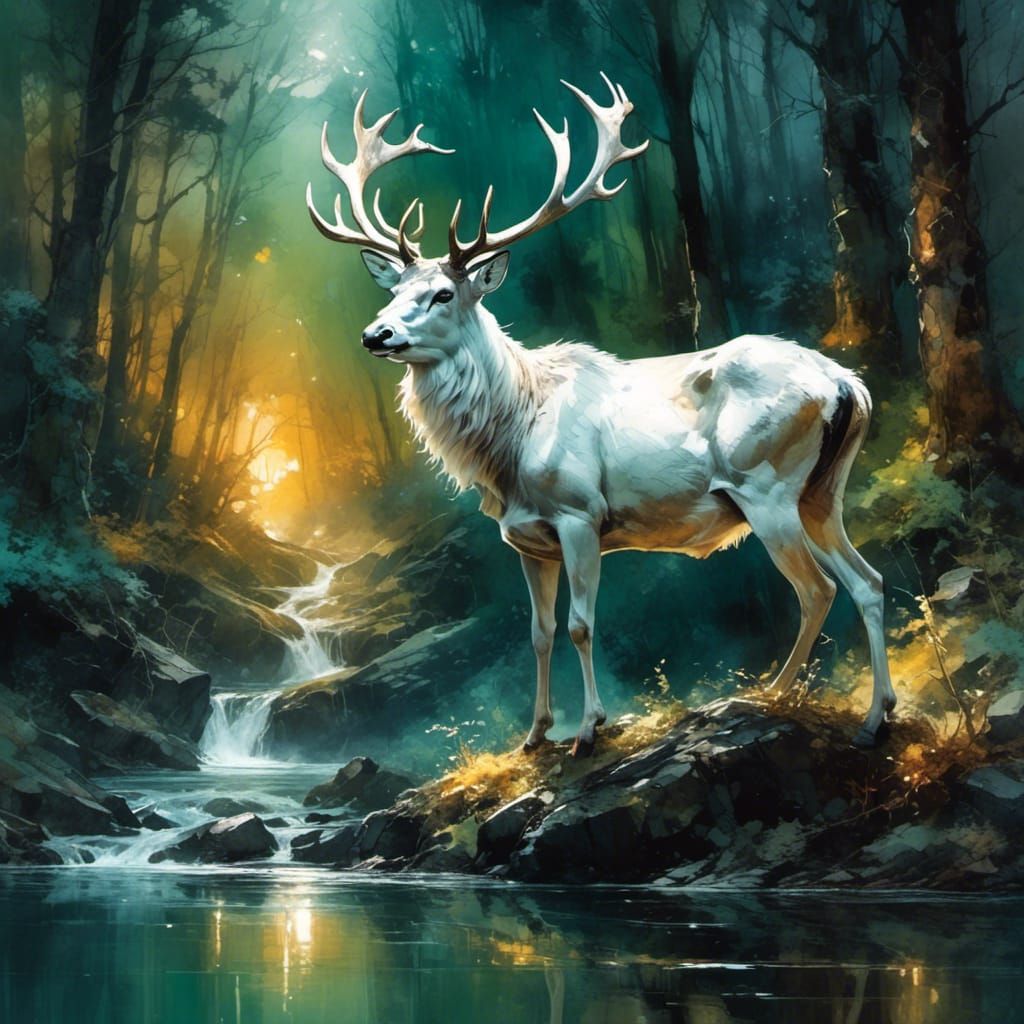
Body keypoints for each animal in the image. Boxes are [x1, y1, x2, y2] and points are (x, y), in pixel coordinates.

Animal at [306, 74, 897, 757]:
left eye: (444, 293)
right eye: (394, 291)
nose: (375, 335)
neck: (510, 440)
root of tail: (849, 385)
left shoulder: (580, 513)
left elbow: (582, 625)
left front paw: (589, 727)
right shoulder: (525, 539)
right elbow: (537, 633)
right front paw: (534, 734)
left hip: (766, 484)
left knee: (817, 588)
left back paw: (776, 694)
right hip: (822, 492)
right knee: (869, 580)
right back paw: (875, 715)